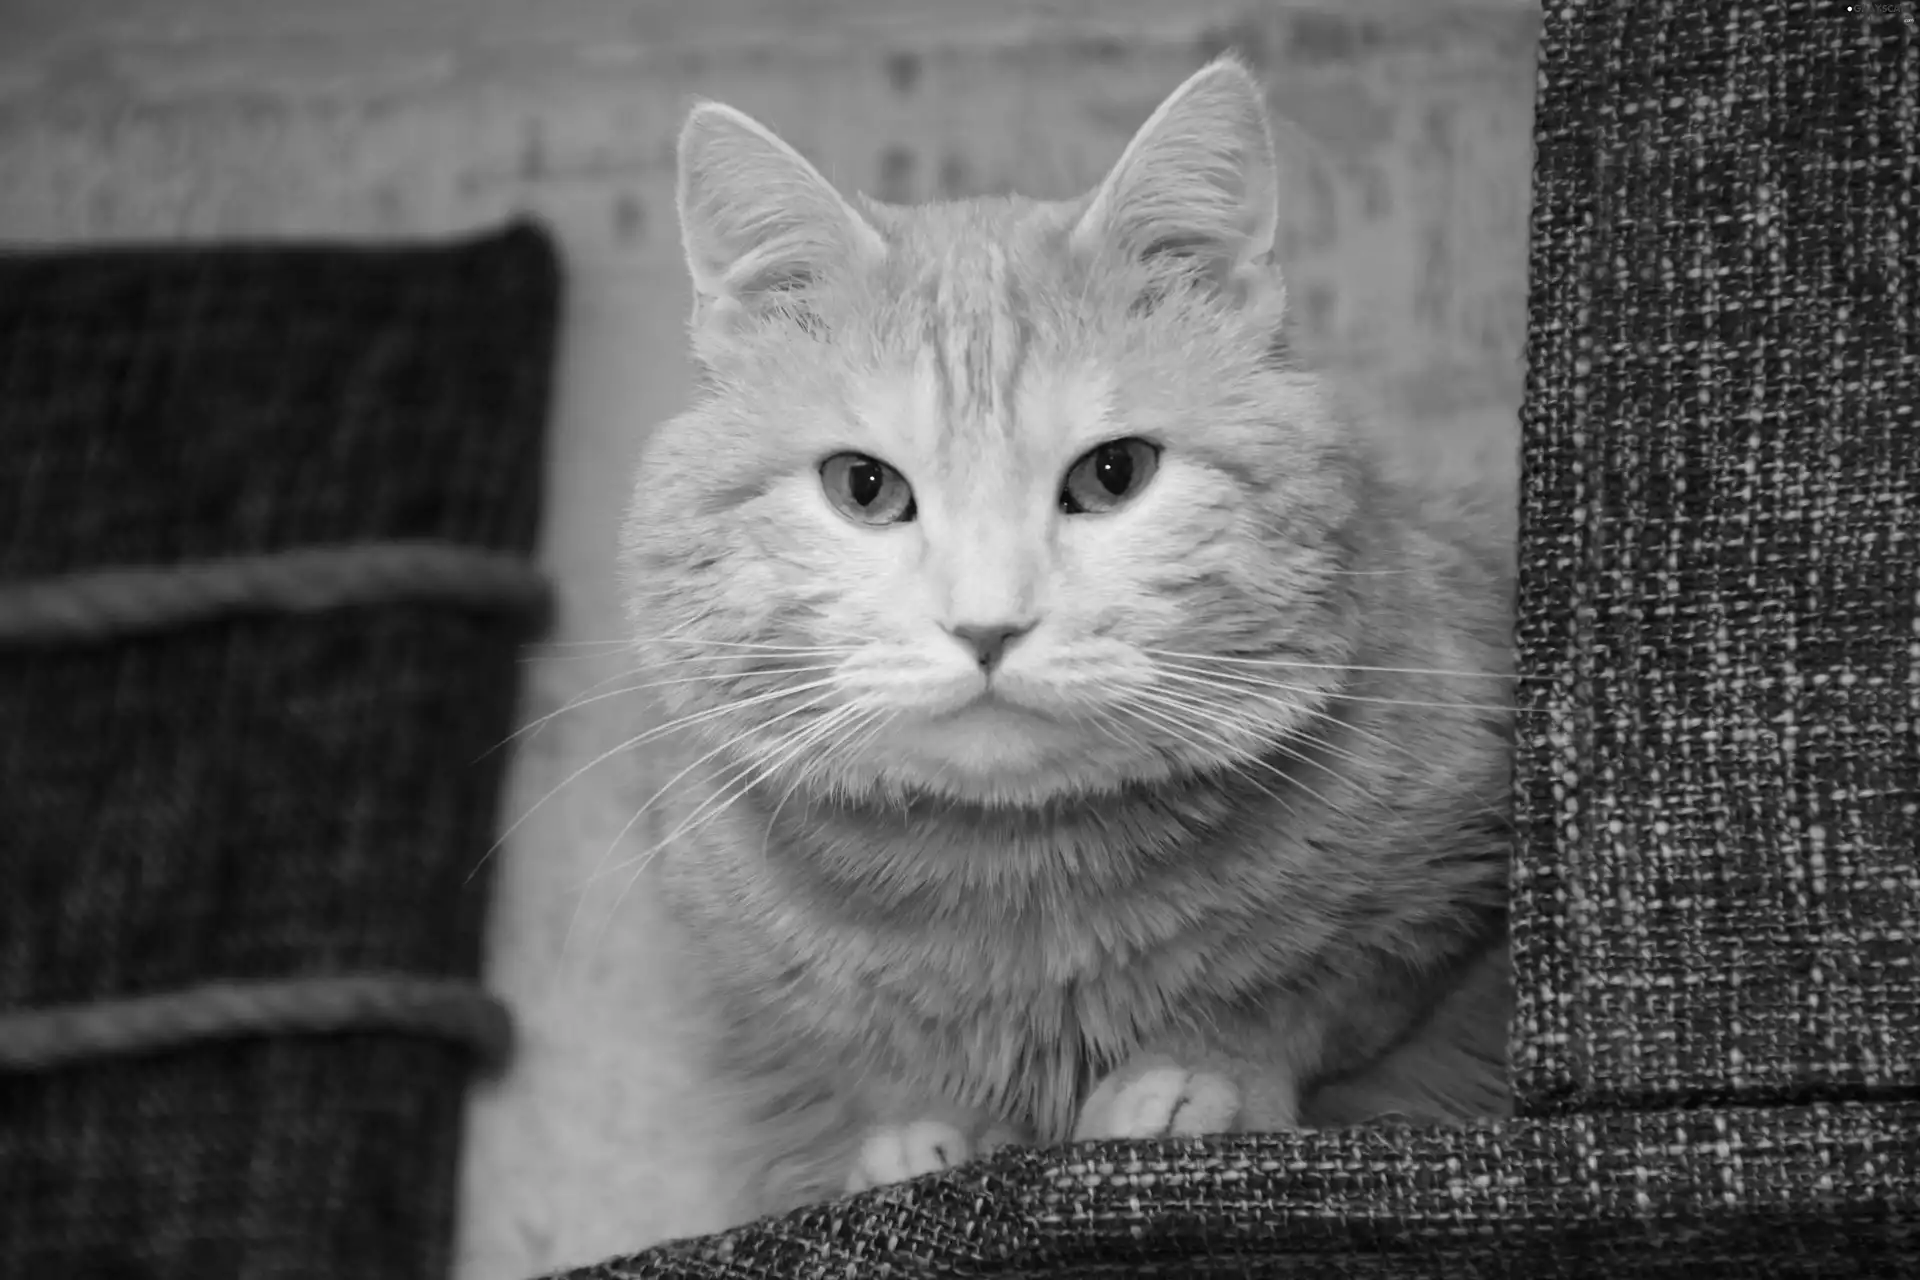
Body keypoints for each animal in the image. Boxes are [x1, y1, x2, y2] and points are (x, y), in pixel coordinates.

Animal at [618, 55, 1512, 1220]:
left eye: (1114, 474)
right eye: (863, 487)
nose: (987, 624)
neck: (1021, 883)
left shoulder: (1457, 881)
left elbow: (1322, 989)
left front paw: (1205, 1069)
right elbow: (867, 1072)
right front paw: (927, 1131)